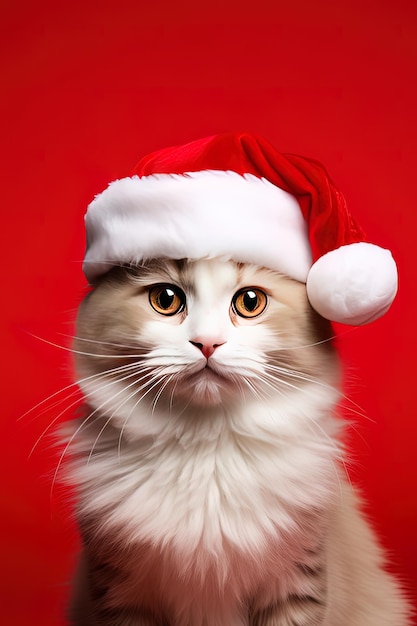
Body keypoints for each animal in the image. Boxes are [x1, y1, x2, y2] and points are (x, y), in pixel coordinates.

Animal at [63, 255, 412, 624]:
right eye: (166, 299)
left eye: (250, 302)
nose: (207, 343)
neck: (205, 448)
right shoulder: (120, 590)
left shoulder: (296, 580)